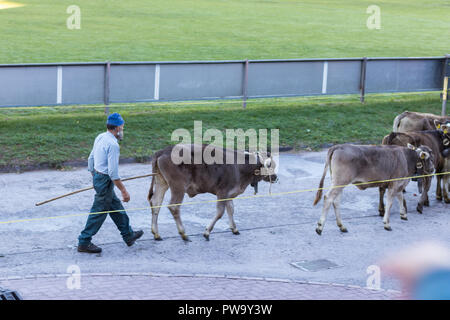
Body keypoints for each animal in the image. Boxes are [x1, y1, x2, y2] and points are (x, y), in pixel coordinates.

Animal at [147, 144, 278, 241]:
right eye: (269, 165)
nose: (276, 177)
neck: (240, 167)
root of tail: (164, 151)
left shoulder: (229, 194)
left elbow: (231, 209)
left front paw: (234, 228)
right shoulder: (222, 192)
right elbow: (220, 212)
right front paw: (207, 232)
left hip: (162, 183)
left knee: (156, 203)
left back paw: (156, 234)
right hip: (178, 187)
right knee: (174, 207)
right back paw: (183, 234)